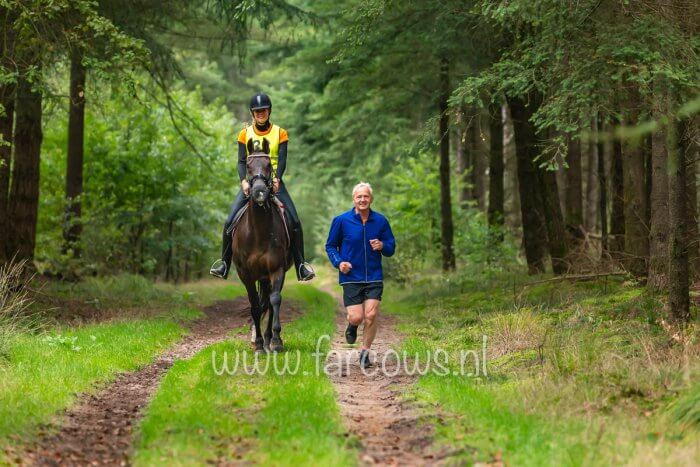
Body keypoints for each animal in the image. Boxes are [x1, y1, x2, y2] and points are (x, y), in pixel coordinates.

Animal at [232, 141, 292, 352]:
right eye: (249, 167)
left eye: (268, 165)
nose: (259, 192)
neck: (258, 231)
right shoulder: (246, 273)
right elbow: (255, 305)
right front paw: (257, 343)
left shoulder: (277, 269)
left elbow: (275, 300)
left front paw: (276, 340)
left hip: (268, 275)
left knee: (271, 300)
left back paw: (268, 339)